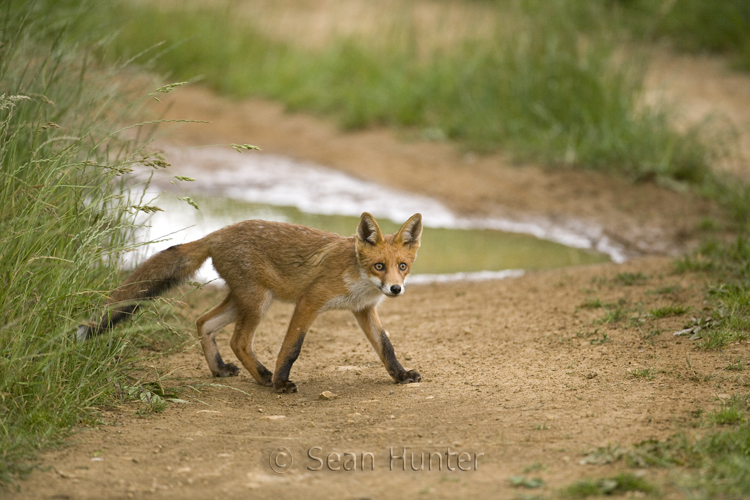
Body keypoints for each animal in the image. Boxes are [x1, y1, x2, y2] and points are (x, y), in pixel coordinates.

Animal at [81, 211, 428, 394]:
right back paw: (264, 377)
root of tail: (217, 233)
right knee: (238, 340)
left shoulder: (363, 310)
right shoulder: (310, 301)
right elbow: (292, 347)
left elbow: (386, 347)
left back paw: (220, 369)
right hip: (258, 302)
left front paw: (400, 376)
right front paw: (281, 381)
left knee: (203, 322)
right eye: (379, 266)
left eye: (402, 266)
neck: (356, 275)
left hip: (244, 301)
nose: (395, 289)